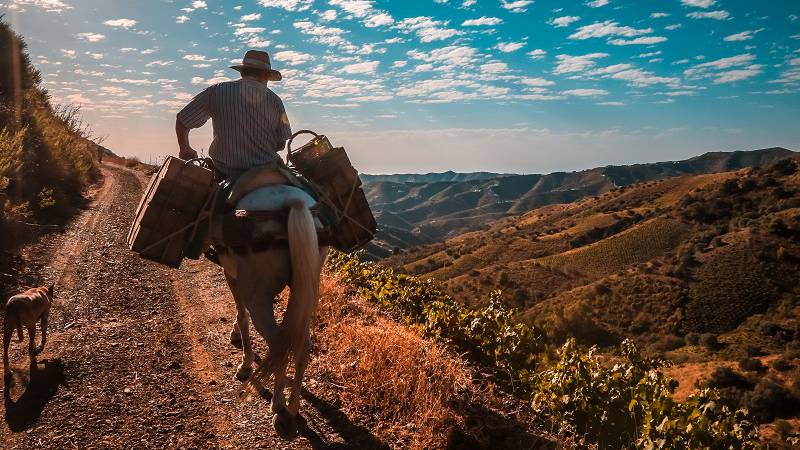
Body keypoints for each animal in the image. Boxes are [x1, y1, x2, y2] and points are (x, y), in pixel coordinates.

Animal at [211, 169, 330, 436]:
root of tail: (292, 203)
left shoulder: (232, 274)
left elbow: (241, 315)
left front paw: (245, 363)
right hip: (308, 283)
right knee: (302, 344)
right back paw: (293, 407)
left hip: (257, 297)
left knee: (278, 344)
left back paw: (278, 406)